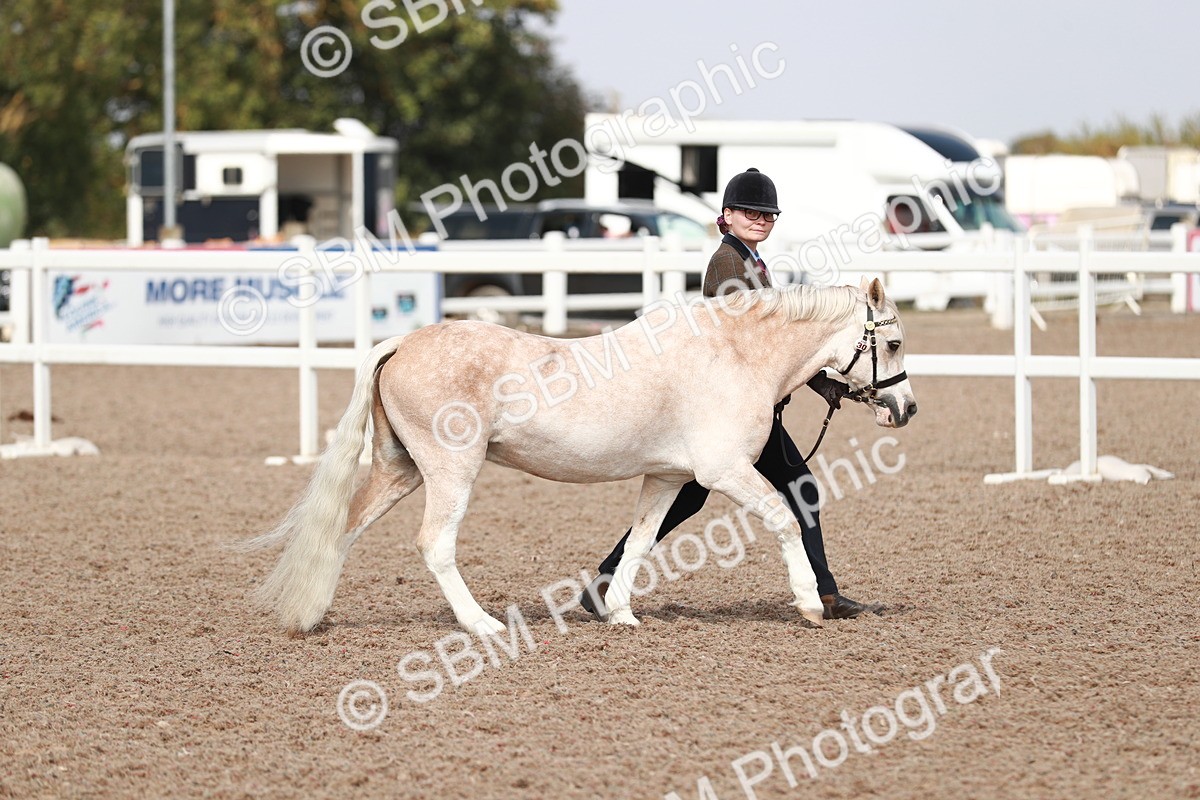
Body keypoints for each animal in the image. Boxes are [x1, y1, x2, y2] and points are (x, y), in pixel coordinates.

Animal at [239, 277, 916, 635]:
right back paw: (482, 625)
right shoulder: (723, 471)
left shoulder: (667, 476)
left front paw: (618, 613)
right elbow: (784, 517)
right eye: (895, 342)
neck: (736, 354)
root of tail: (404, 340)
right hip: (450, 471)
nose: (904, 409)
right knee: (435, 544)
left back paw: (311, 614)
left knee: (344, 528)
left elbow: (641, 540)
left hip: (398, 469)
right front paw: (811, 605)